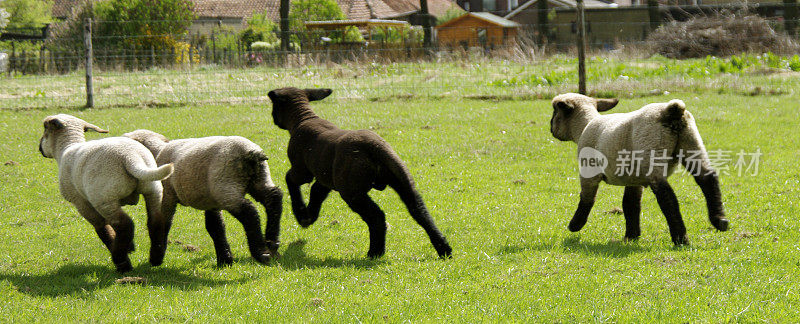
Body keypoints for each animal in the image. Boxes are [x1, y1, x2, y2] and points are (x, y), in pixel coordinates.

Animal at [38, 112, 173, 272]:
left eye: (45, 130)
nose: (40, 148)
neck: (66, 148)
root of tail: (130, 158)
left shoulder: (81, 202)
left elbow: (102, 228)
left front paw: (120, 248)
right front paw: (130, 247)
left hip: (104, 198)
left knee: (124, 225)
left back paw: (121, 262)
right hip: (152, 189)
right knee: (155, 220)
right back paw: (155, 258)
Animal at [123, 129, 282, 266]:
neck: (157, 153)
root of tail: (251, 152)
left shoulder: (167, 196)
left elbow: (160, 223)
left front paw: (156, 258)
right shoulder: (211, 202)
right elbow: (215, 227)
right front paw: (225, 260)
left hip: (225, 186)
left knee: (249, 212)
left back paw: (260, 252)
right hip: (259, 178)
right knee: (274, 197)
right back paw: (272, 241)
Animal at [268, 87, 454, 260]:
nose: (273, 120)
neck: (303, 118)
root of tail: (375, 149)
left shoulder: (301, 171)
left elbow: (290, 180)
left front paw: (300, 214)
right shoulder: (326, 178)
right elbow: (316, 193)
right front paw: (309, 216)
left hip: (352, 192)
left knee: (377, 216)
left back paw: (375, 252)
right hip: (403, 182)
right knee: (420, 211)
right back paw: (444, 249)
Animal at [552, 92, 732, 244]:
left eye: (554, 112)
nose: (551, 129)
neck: (584, 126)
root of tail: (671, 110)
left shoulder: (589, 172)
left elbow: (587, 199)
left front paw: (575, 225)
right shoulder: (634, 178)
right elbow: (630, 204)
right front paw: (631, 236)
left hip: (652, 151)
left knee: (666, 194)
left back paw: (681, 238)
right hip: (691, 142)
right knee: (707, 178)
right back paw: (720, 221)